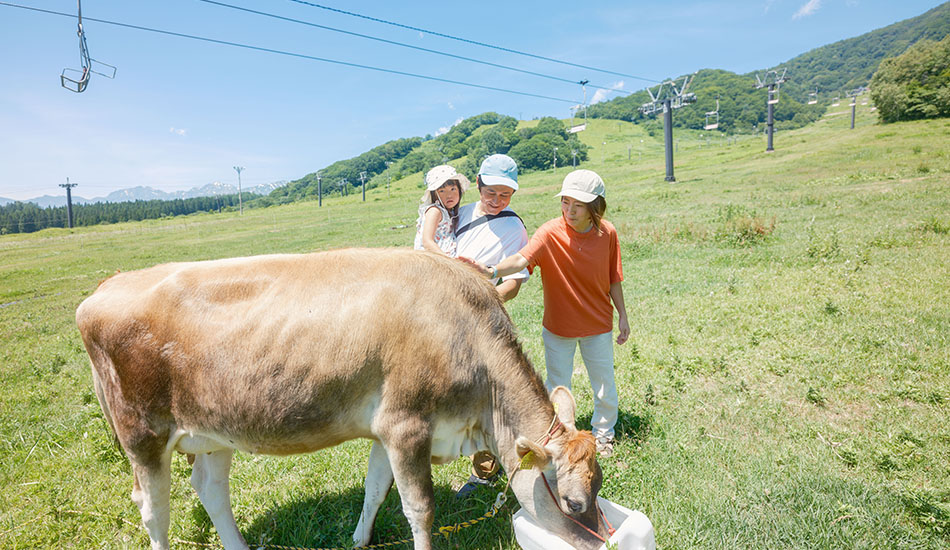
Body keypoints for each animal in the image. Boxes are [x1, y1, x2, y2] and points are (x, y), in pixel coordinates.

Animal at [74, 249, 608, 550]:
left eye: (599, 484)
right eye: (574, 503)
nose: (605, 540)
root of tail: (107, 284)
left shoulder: (386, 430)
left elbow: (375, 489)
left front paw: (358, 539)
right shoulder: (407, 425)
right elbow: (419, 508)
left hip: (212, 429)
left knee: (210, 489)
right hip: (143, 434)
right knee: (153, 508)